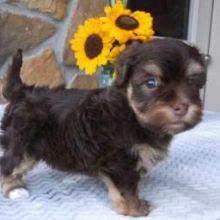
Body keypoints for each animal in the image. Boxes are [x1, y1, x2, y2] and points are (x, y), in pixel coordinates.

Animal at [0, 38, 206, 217]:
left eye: (191, 82)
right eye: (151, 83)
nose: (182, 106)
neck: (132, 114)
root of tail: (23, 91)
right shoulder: (120, 163)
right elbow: (127, 189)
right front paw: (134, 208)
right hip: (21, 143)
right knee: (8, 164)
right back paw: (14, 189)